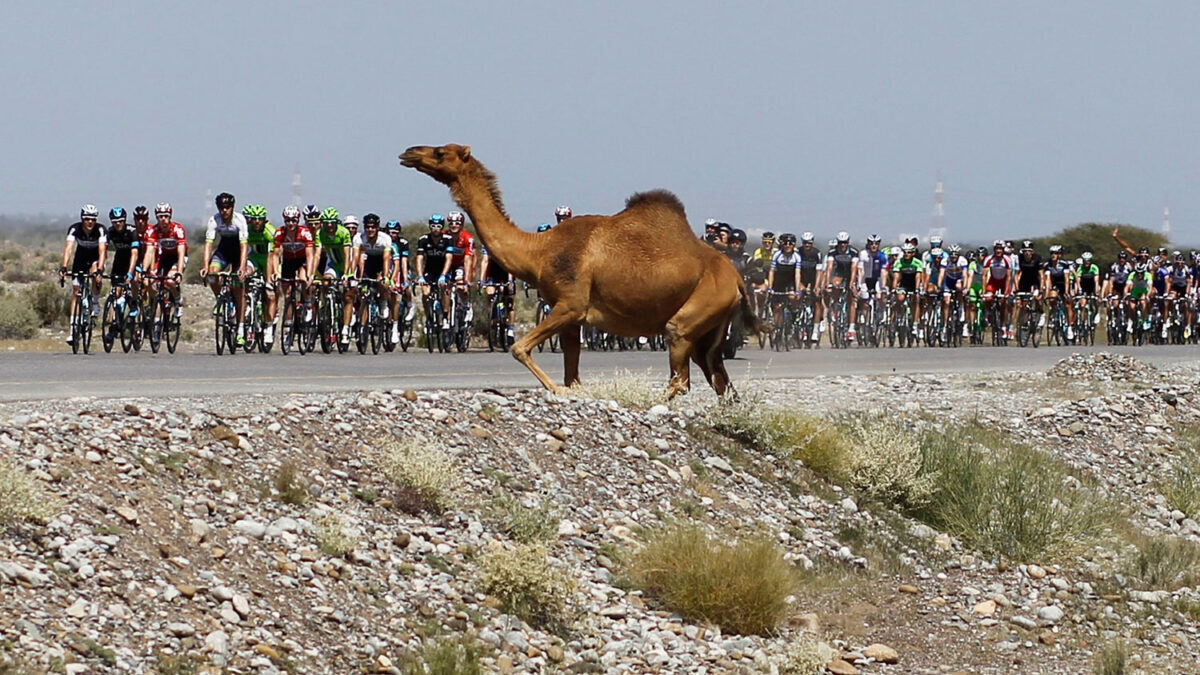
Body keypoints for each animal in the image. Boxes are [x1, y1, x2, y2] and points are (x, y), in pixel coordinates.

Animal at [403, 141, 758, 393]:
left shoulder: (571, 304)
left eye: (440, 152)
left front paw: (556, 391)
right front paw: (567, 389)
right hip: (710, 327)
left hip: (697, 311)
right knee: (720, 380)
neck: (539, 251)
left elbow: (519, 348)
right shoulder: (570, 318)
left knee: (681, 373)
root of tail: (735, 278)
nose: (408, 152)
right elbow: (572, 376)